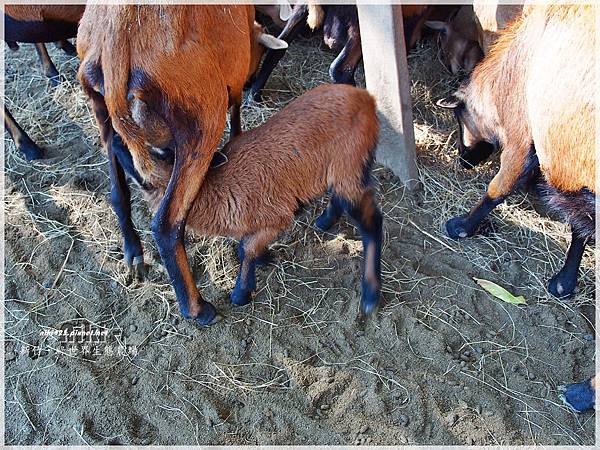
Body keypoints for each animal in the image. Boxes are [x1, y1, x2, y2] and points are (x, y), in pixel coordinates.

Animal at [143, 84, 382, 324]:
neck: (214, 188)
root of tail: (365, 98)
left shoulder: (277, 218)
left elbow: (247, 248)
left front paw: (241, 292)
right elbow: (246, 246)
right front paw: (263, 259)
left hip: (350, 165)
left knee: (372, 222)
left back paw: (371, 295)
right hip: (343, 171)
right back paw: (325, 220)